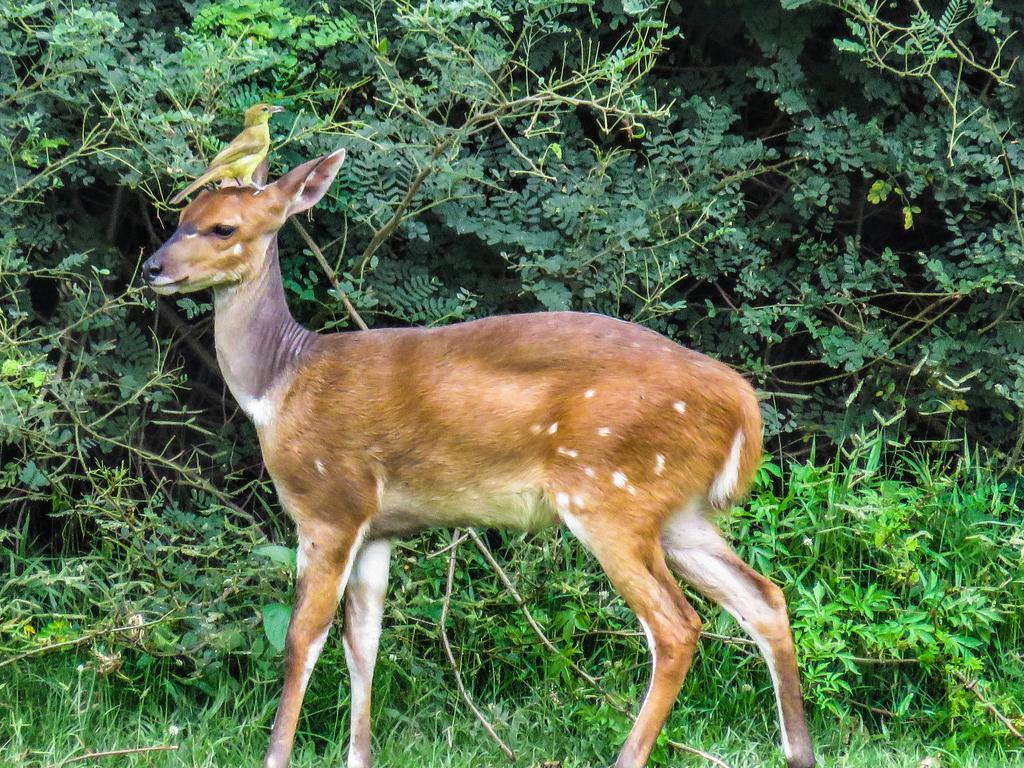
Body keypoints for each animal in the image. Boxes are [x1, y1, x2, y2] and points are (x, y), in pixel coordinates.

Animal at [142, 150, 815, 768]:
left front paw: (277, 756)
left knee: (676, 627)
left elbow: (302, 637)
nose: (153, 267)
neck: (279, 386)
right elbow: (365, 642)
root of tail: (742, 403)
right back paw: (799, 753)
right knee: (766, 599)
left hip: (610, 493)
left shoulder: (331, 504)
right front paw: (360, 757)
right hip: (678, 512)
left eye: (223, 227)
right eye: (180, 217)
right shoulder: (381, 527)